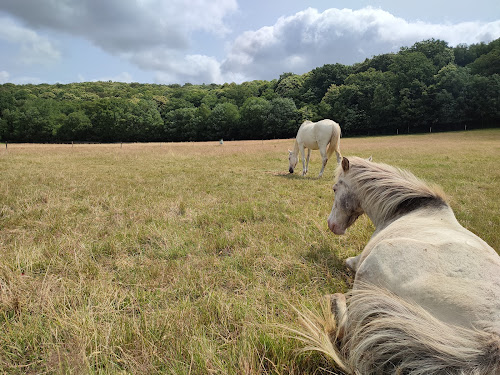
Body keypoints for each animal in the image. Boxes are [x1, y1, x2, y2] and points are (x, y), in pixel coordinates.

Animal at [296, 156, 500, 375]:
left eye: (335, 188)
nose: (332, 225)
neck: (409, 210)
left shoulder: (359, 260)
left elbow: (347, 261)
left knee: (347, 335)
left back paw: (334, 298)